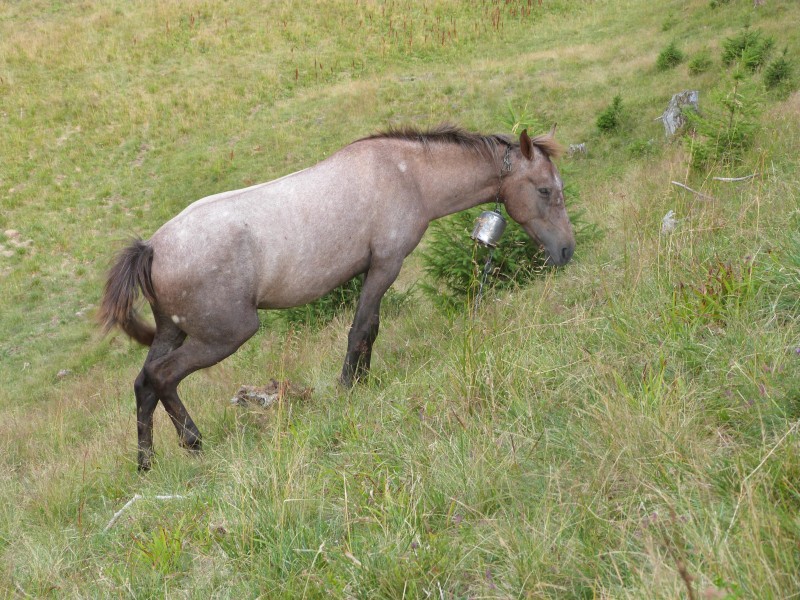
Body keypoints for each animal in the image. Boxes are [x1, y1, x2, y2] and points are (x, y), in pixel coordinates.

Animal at [99, 125, 576, 470]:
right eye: (546, 190)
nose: (567, 251)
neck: (407, 174)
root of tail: (153, 248)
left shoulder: (373, 272)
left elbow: (371, 328)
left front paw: (362, 380)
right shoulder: (385, 266)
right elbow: (361, 328)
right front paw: (349, 387)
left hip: (172, 331)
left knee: (144, 383)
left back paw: (146, 464)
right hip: (226, 335)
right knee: (163, 377)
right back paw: (193, 443)